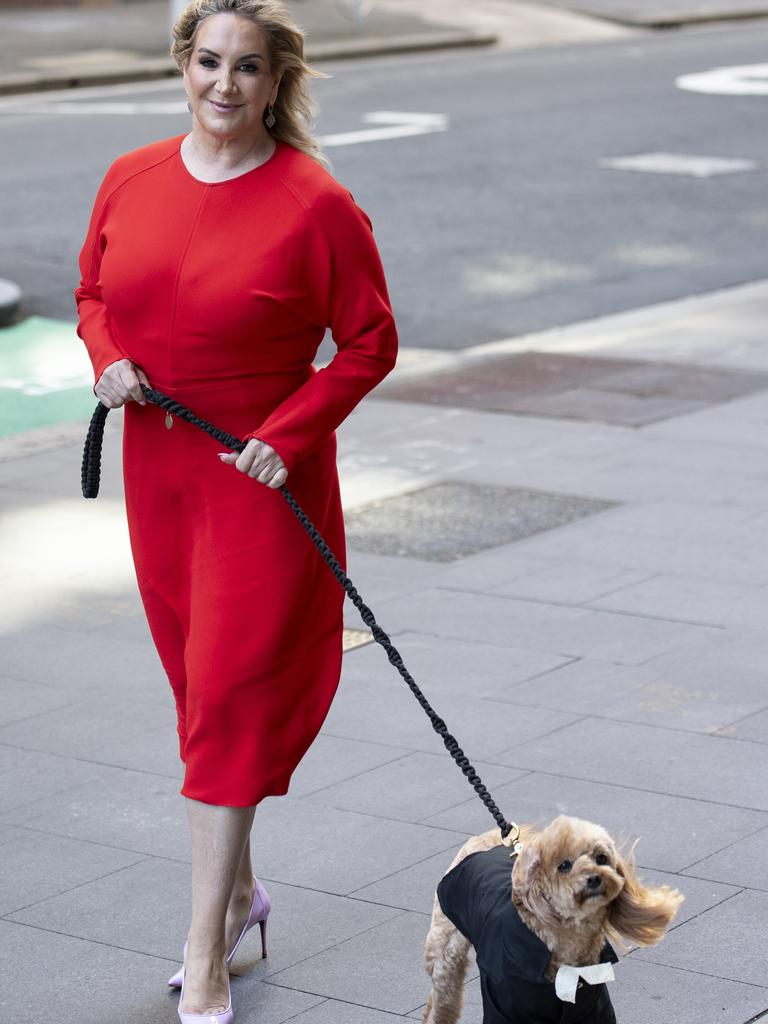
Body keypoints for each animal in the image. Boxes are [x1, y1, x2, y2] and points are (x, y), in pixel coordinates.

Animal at [428, 815, 684, 1024]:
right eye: (564, 865)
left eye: (601, 857)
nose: (594, 878)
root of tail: (487, 839)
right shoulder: (503, 1008)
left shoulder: (591, 1009)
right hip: (445, 955)